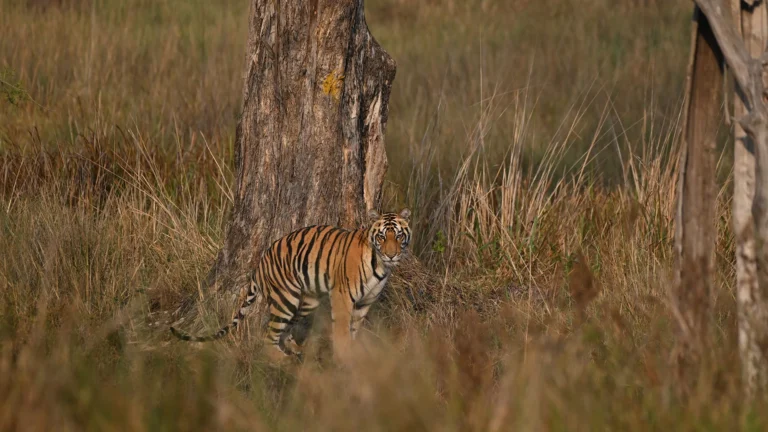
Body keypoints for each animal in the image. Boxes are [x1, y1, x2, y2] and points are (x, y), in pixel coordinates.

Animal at [167, 208, 408, 362]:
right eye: (381, 237)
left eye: (398, 236)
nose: (391, 255)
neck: (380, 266)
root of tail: (260, 263)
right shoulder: (342, 296)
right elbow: (341, 329)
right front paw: (344, 356)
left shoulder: (364, 302)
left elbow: (354, 329)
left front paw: (354, 351)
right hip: (286, 298)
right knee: (269, 337)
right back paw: (284, 361)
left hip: (306, 300)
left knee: (286, 331)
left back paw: (297, 350)